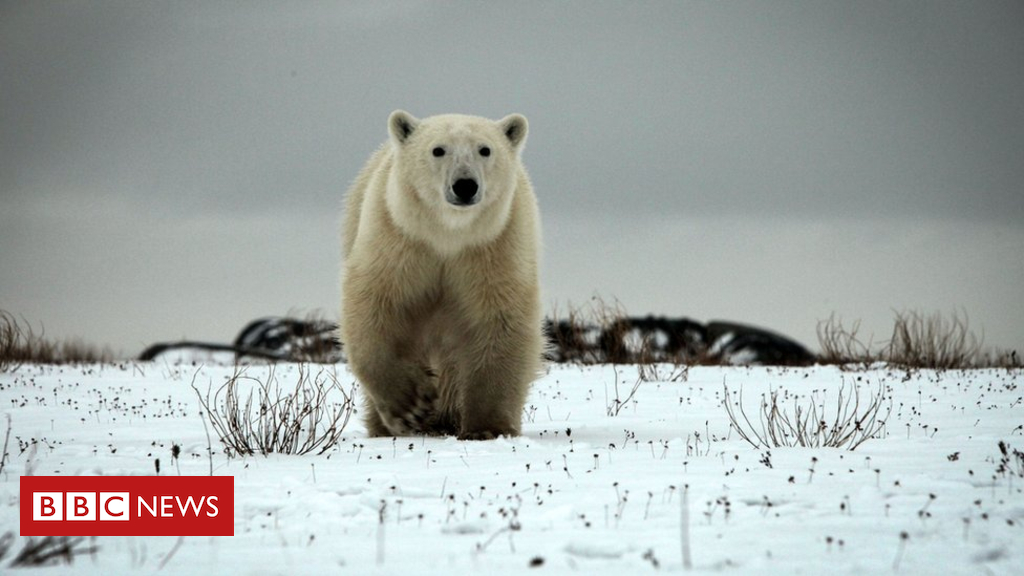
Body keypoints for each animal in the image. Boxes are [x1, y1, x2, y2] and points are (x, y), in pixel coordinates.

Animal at [342, 108, 544, 438]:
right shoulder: (399, 239)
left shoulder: (494, 246)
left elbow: (500, 319)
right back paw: (388, 426)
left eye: (485, 149)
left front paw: (487, 427)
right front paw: (410, 405)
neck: (448, 236)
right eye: (438, 150)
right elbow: (374, 305)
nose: (465, 185)